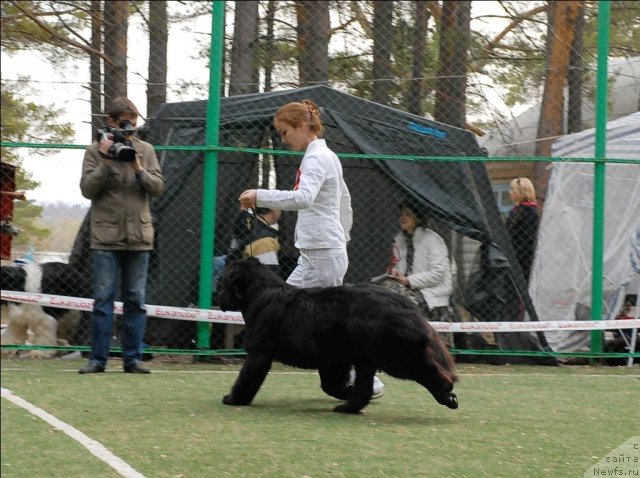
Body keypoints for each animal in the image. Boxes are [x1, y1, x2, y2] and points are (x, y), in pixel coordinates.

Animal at [218, 258, 458, 414]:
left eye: (224, 282)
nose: (219, 296)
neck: (259, 294)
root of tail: (405, 303)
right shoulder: (334, 360)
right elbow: (331, 385)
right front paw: (346, 391)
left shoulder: (259, 353)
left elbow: (247, 378)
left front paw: (233, 399)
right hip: (367, 359)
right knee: (364, 388)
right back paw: (348, 407)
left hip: (394, 356)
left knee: (427, 370)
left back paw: (446, 394)